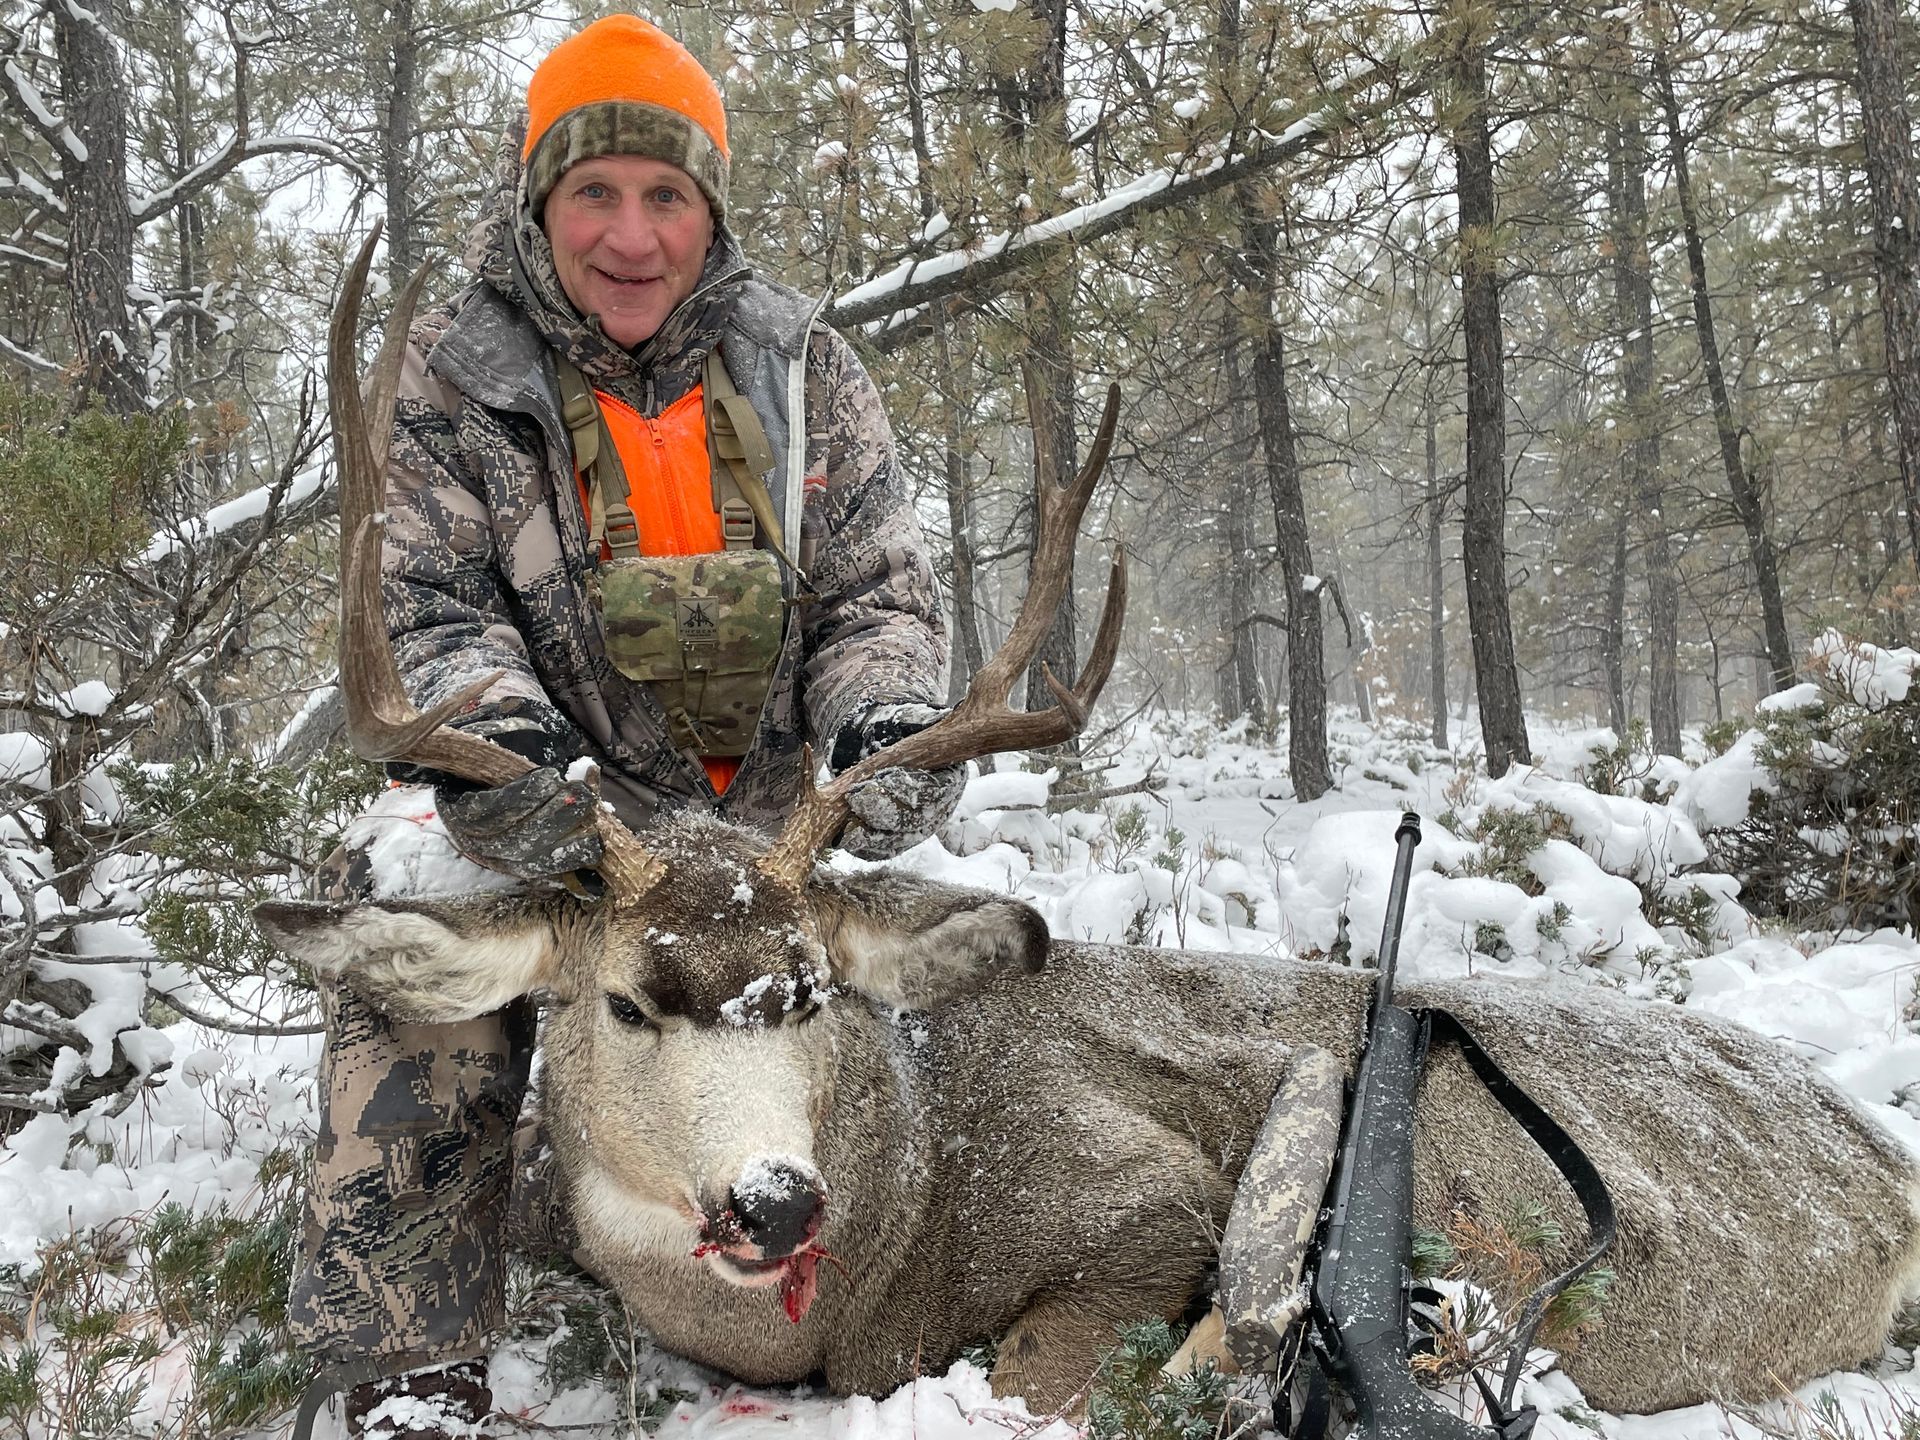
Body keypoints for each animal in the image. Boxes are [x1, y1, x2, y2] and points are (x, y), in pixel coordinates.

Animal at [257, 232, 1920, 1422]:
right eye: (620, 1000)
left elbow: (1045, 1370)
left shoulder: (1135, 1197)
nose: (775, 1196)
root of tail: (1881, 1146)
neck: (911, 1192)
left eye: (814, 988)